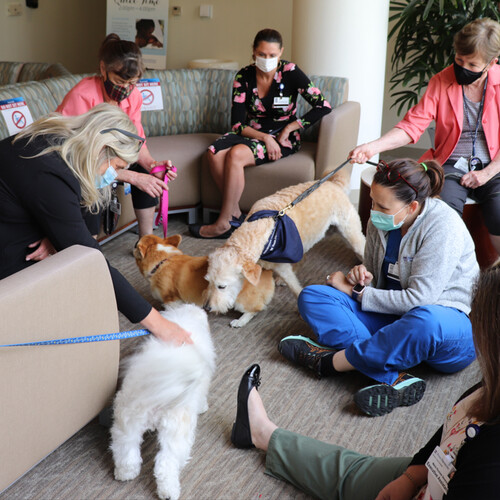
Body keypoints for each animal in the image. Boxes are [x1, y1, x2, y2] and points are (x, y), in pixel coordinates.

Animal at [110, 300, 216, 500]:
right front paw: (203, 407)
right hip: (176, 432)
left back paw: (125, 473)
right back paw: (169, 491)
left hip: (127, 424)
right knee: (166, 463)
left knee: (126, 450)